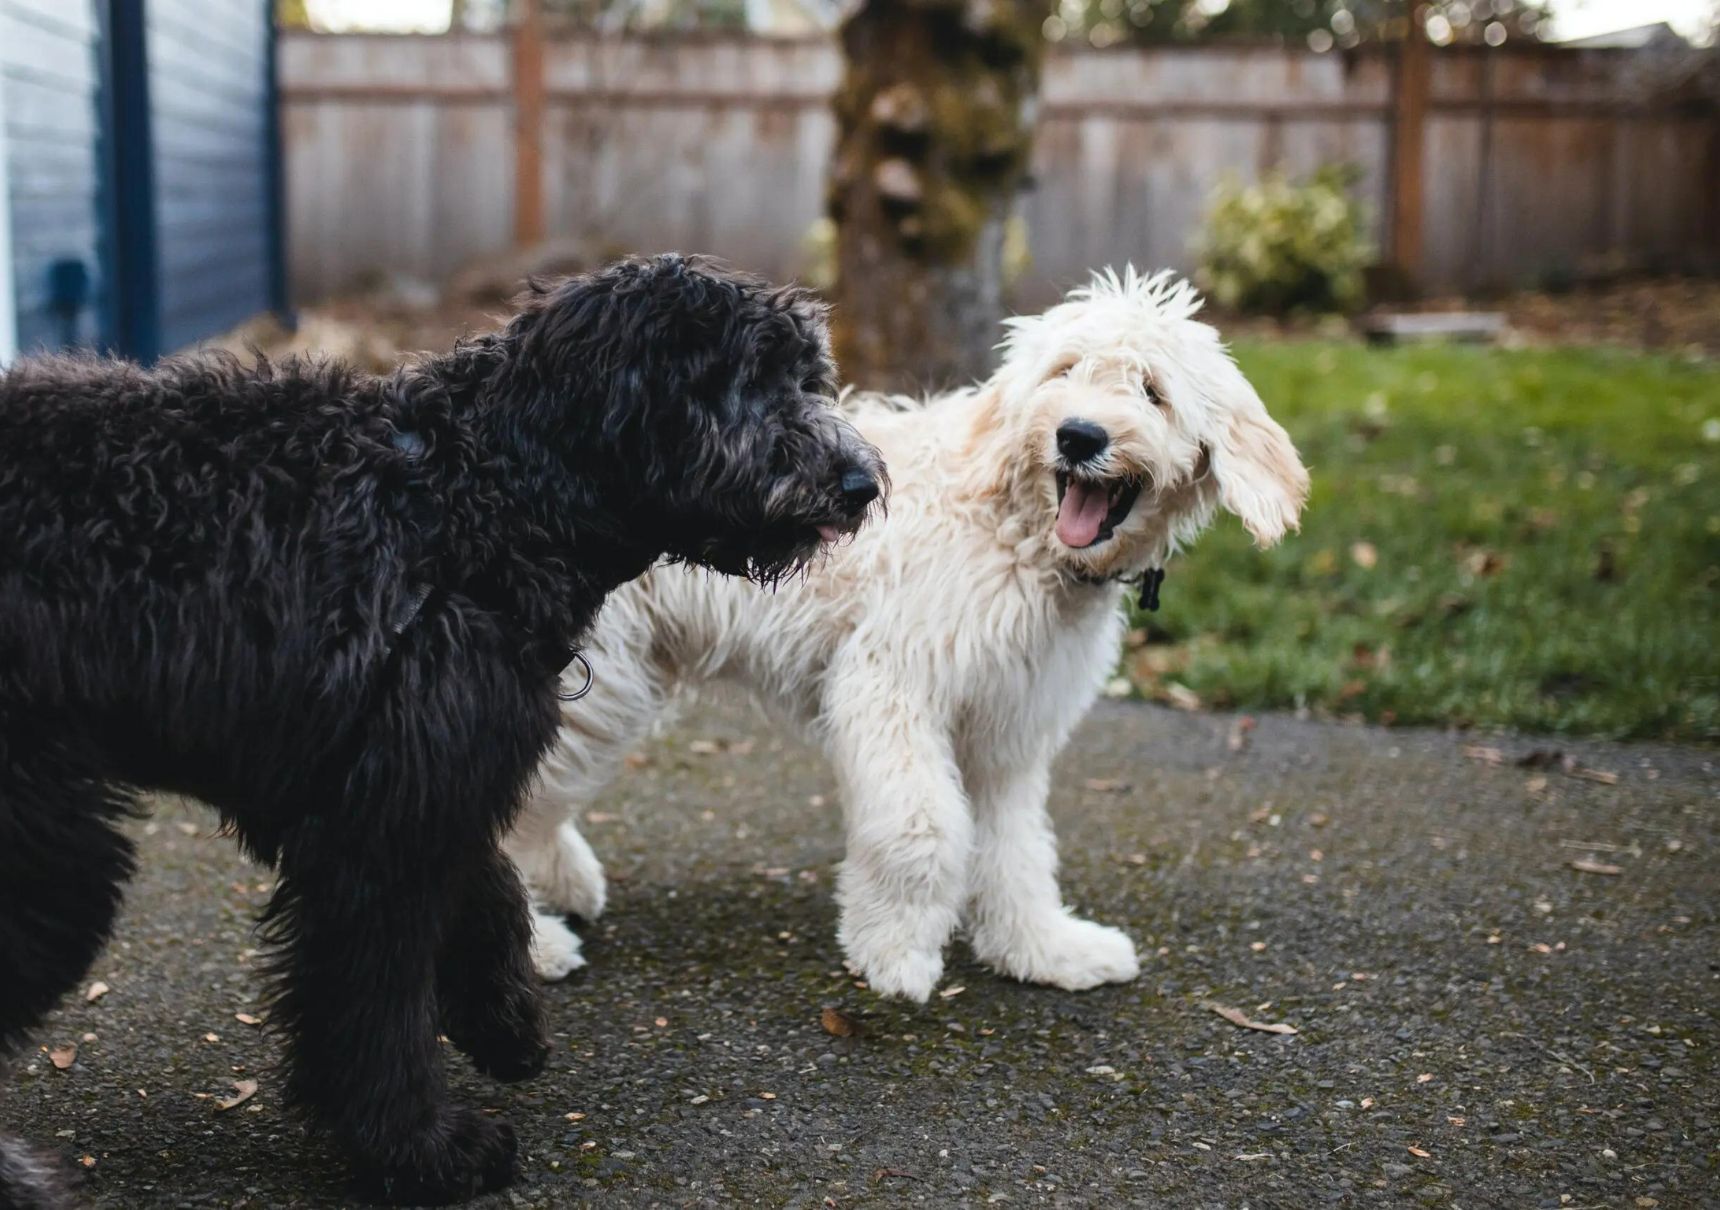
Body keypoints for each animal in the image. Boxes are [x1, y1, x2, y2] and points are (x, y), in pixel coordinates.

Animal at [0, 251, 887, 1204]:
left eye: (806, 376)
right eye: (743, 379)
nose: (861, 483)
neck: (469, 503)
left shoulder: (403, 777)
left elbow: (488, 886)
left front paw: (504, 1021)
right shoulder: (380, 822)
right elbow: (375, 999)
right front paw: (423, 1149)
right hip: (55, 857)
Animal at [502, 270, 1307, 998]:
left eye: (1152, 390)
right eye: (1065, 371)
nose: (1079, 436)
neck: (1014, 533)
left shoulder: (1008, 728)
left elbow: (1016, 848)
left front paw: (1041, 947)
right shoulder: (891, 685)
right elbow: (922, 829)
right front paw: (894, 954)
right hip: (598, 684)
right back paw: (538, 944)